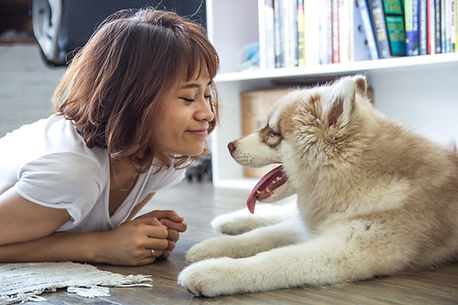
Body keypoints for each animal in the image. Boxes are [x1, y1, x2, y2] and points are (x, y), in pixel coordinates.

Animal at [176, 75, 458, 296]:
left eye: (272, 134)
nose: (229, 145)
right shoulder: (317, 226)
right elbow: (260, 236)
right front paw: (210, 248)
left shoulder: (344, 249)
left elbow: (274, 259)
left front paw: (212, 271)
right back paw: (229, 221)